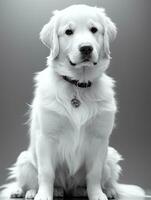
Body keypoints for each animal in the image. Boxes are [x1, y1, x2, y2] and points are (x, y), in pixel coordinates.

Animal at [0, 4, 146, 200]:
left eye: (94, 29)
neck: (78, 85)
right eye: (68, 32)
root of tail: (69, 188)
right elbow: (46, 172)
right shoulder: (47, 137)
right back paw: (28, 191)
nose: (86, 48)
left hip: (111, 156)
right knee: (27, 182)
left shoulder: (99, 138)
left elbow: (94, 173)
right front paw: (43, 195)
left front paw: (97, 194)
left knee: (105, 181)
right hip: (24, 160)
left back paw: (106, 190)